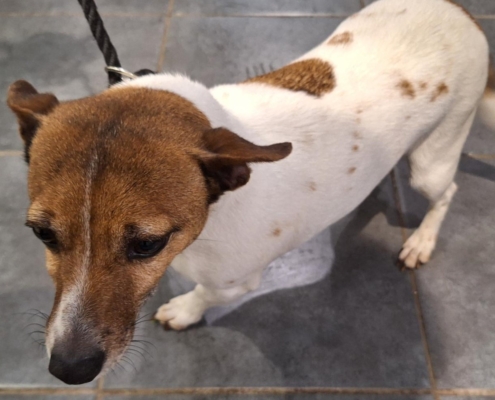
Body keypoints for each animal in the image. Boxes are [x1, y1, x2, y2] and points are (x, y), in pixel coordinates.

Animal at [7, 0, 494, 386]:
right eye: (42, 234)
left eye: (147, 244)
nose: (69, 369)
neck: (214, 210)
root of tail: (460, 11)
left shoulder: (236, 283)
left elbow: (204, 295)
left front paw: (185, 309)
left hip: (432, 161)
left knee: (446, 191)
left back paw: (422, 240)